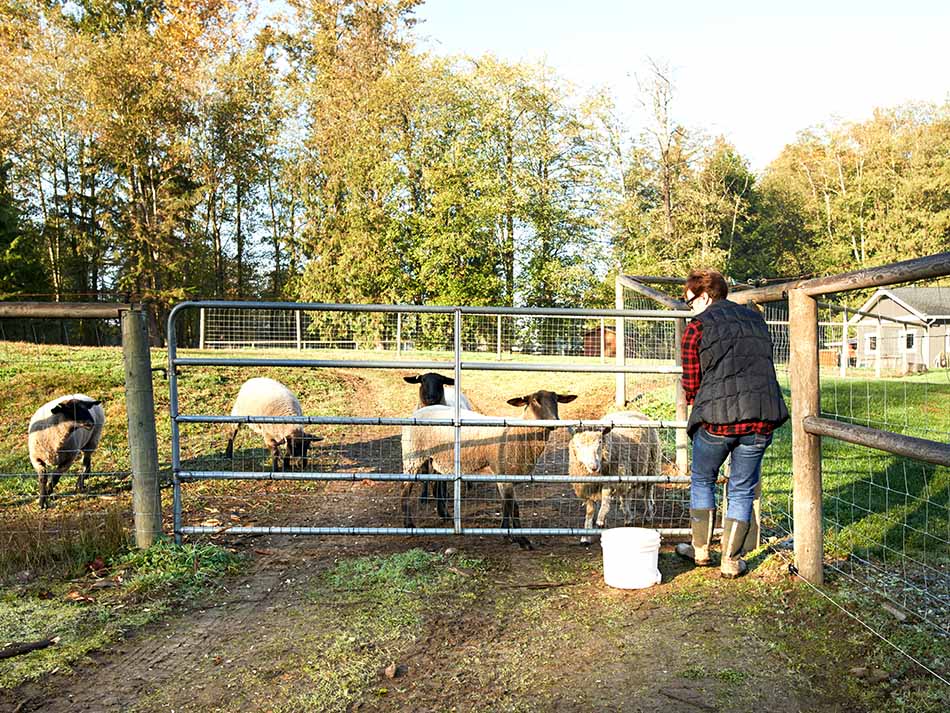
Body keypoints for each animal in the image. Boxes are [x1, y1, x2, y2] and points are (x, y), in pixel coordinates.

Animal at [568, 408, 664, 544]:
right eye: (578, 446)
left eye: (600, 442)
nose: (593, 467)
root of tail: (633, 411)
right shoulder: (588, 487)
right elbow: (590, 511)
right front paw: (586, 535)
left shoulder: (611, 480)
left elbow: (605, 500)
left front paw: (600, 519)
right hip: (631, 470)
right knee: (627, 495)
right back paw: (628, 517)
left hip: (651, 465)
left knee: (647, 492)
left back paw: (648, 514)